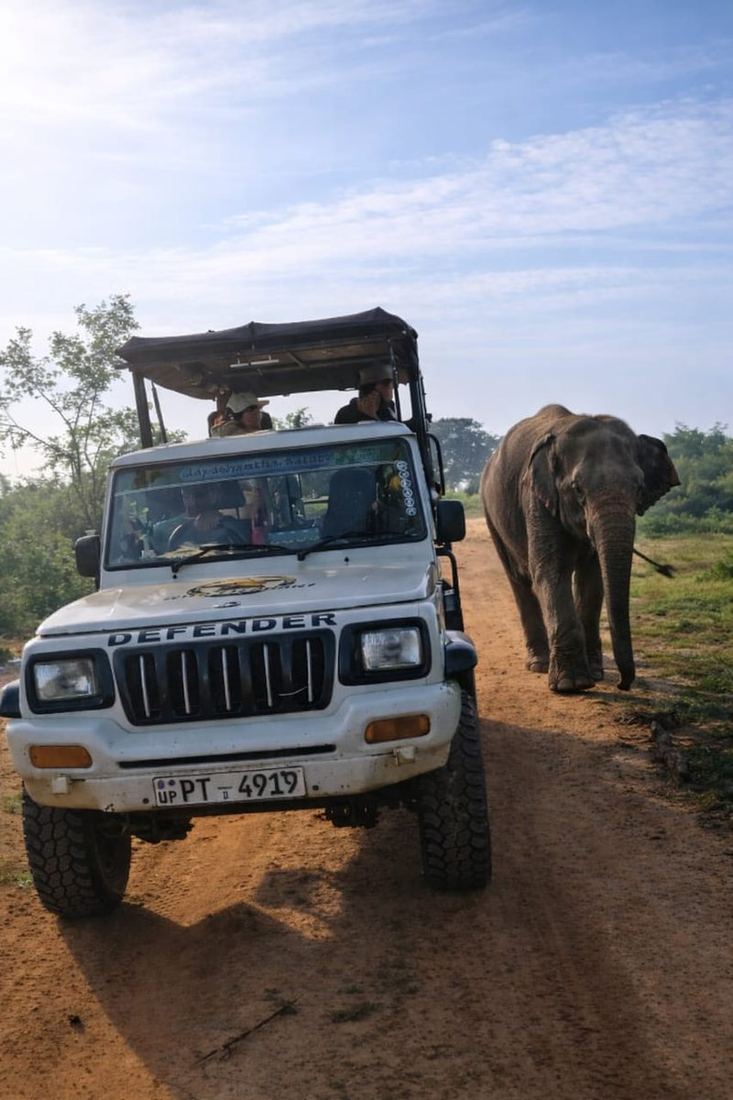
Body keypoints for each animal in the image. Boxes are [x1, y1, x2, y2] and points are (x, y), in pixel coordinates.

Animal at [480, 404, 680, 693]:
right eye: (577, 489)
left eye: (640, 488)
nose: (623, 684)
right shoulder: (535, 496)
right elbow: (551, 571)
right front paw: (571, 685)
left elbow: (592, 580)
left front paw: (595, 673)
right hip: (491, 514)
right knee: (518, 579)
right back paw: (539, 664)